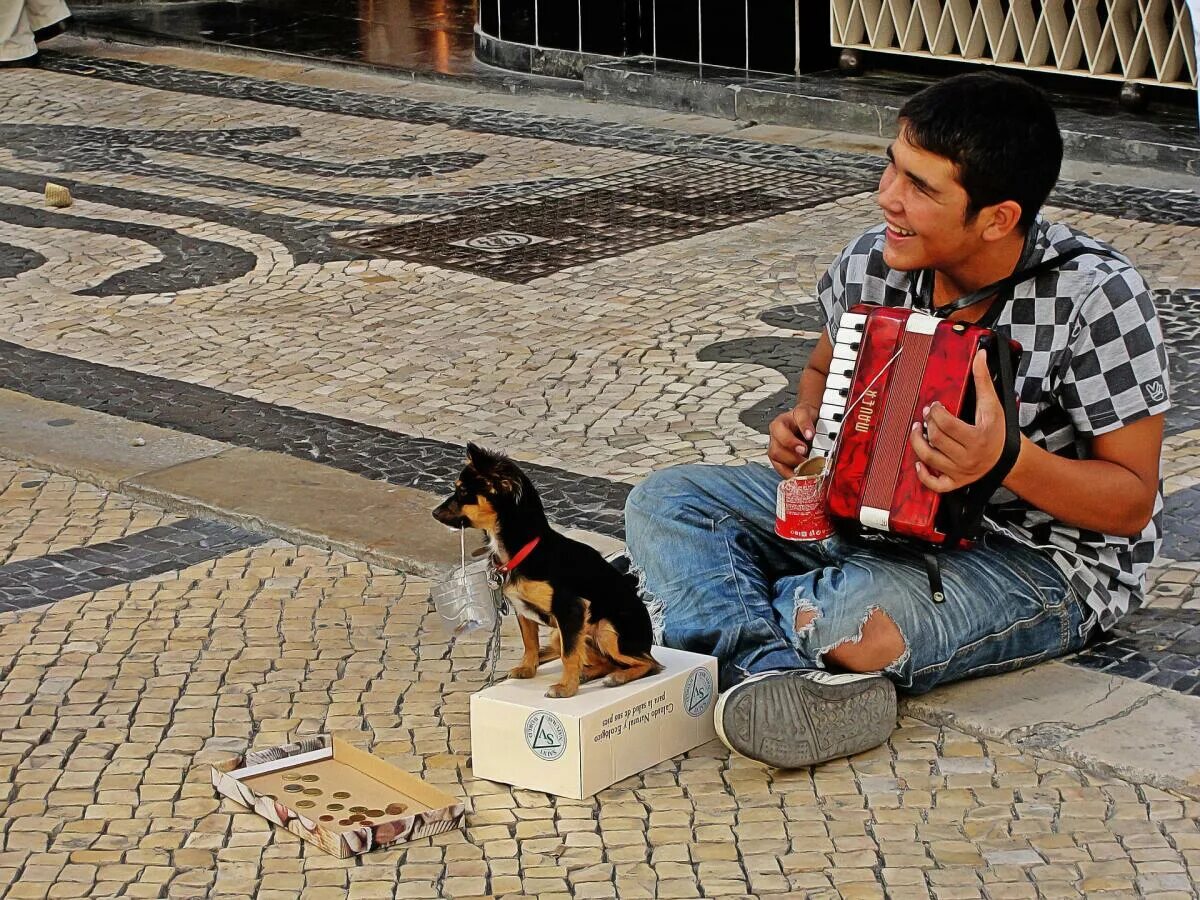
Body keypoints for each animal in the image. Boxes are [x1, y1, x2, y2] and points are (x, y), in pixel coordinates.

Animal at [434, 448, 662, 700]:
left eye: (463, 492)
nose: (434, 513)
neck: (525, 549)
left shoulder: (571, 609)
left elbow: (568, 654)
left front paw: (566, 688)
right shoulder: (523, 610)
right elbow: (530, 642)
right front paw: (528, 668)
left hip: (605, 629)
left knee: (651, 664)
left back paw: (618, 677)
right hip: (566, 633)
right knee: (608, 661)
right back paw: (590, 673)